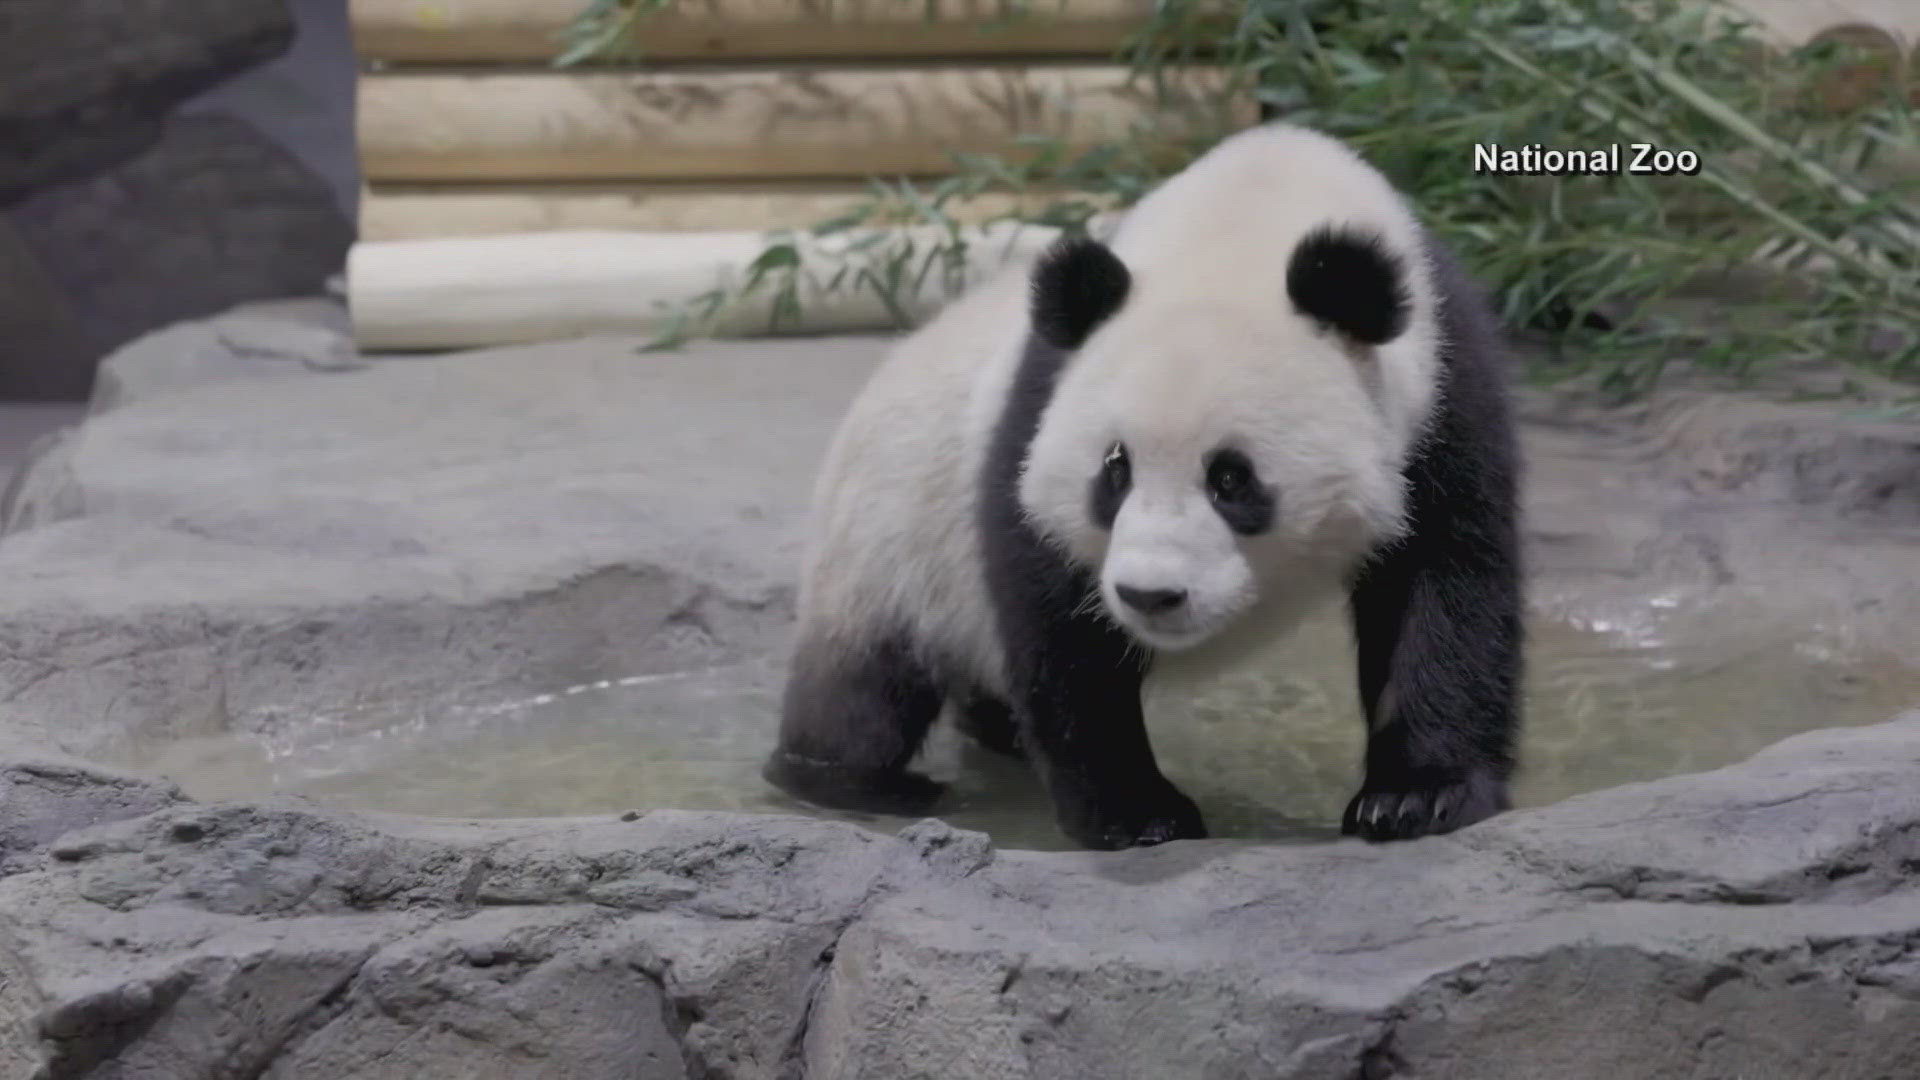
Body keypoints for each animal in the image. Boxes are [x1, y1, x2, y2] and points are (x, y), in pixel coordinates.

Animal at [756, 119, 1520, 849]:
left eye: (1232, 480)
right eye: (1114, 470)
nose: (1150, 595)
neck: (1248, 224)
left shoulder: (1445, 389)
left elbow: (1445, 582)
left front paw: (1414, 798)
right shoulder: (1042, 402)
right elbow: (1057, 615)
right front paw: (1138, 814)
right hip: (892, 533)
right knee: (865, 685)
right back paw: (859, 780)